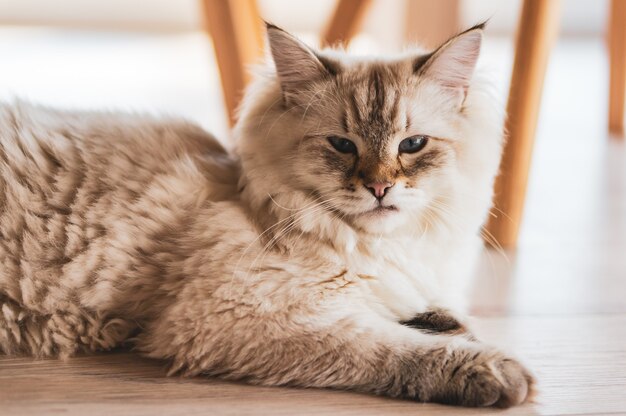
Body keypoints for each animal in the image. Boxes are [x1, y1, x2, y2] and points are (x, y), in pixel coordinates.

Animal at [1, 22, 532, 406]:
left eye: (413, 145)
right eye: (342, 145)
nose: (379, 188)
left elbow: (424, 314)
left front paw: (448, 323)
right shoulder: (245, 314)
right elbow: (389, 344)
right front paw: (494, 370)